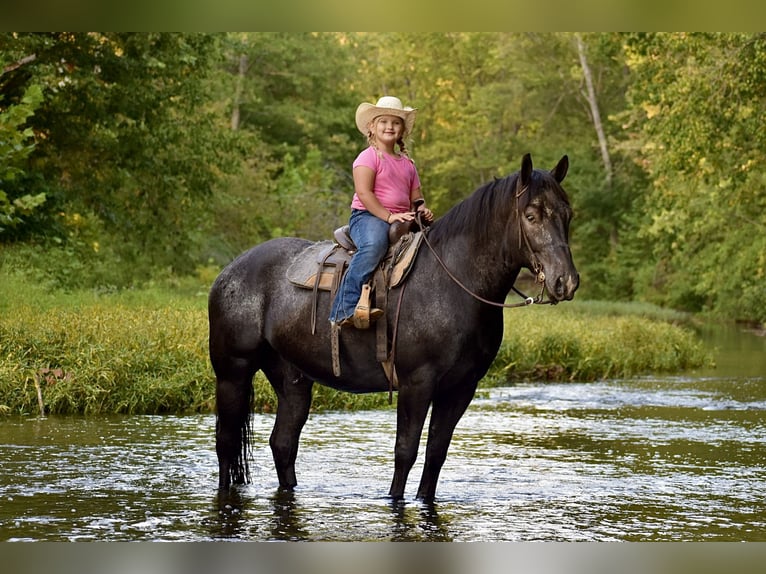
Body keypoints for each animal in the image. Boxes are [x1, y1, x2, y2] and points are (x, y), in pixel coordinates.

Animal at [207, 155, 580, 502]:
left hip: (292, 378)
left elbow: (436, 454)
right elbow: (406, 451)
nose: (566, 281)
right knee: (226, 442)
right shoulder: (417, 382)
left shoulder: (461, 388)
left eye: (567, 214)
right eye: (531, 216)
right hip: (233, 372)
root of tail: (230, 271)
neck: (452, 281)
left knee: (283, 443)